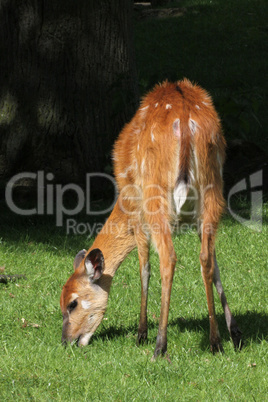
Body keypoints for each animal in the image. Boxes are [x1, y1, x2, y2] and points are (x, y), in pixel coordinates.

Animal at [60, 78, 243, 358]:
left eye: (72, 303)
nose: (65, 341)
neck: (121, 203)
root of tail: (185, 119)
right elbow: (215, 264)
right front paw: (235, 334)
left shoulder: (136, 213)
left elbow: (144, 268)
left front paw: (140, 333)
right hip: (213, 191)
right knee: (205, 258)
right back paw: (215, 342)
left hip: (155, 196)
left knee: (168, 258)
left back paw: (159, 345)